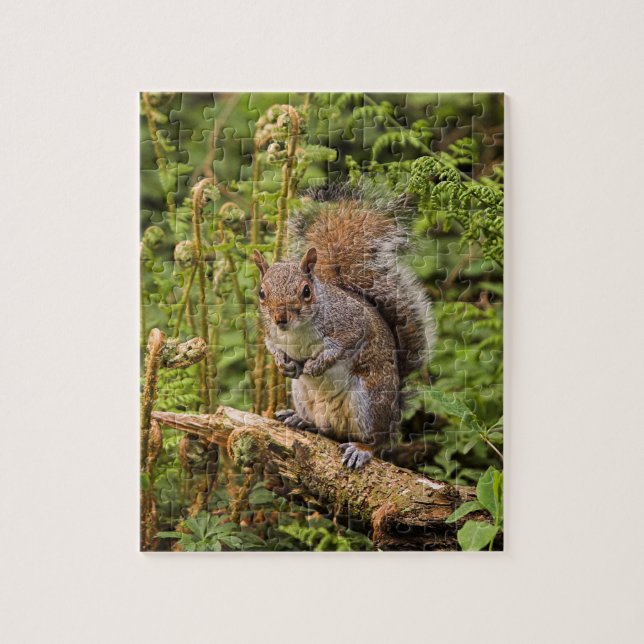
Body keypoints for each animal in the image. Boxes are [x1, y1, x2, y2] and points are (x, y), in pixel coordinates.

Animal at [253, 182, 433, 469]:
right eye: (261, 292)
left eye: (306, 291)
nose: (281, 318)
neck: (297, 331)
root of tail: (395, 412)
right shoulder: (271, 333)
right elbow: (272, 346)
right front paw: (283, 363)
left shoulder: (352, 325)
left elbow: (342, 346)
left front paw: (317, 365)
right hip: (303, 394)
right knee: (325, 428)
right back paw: (299, 419)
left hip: (369, 401)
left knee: (377, 440)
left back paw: (361, 448)